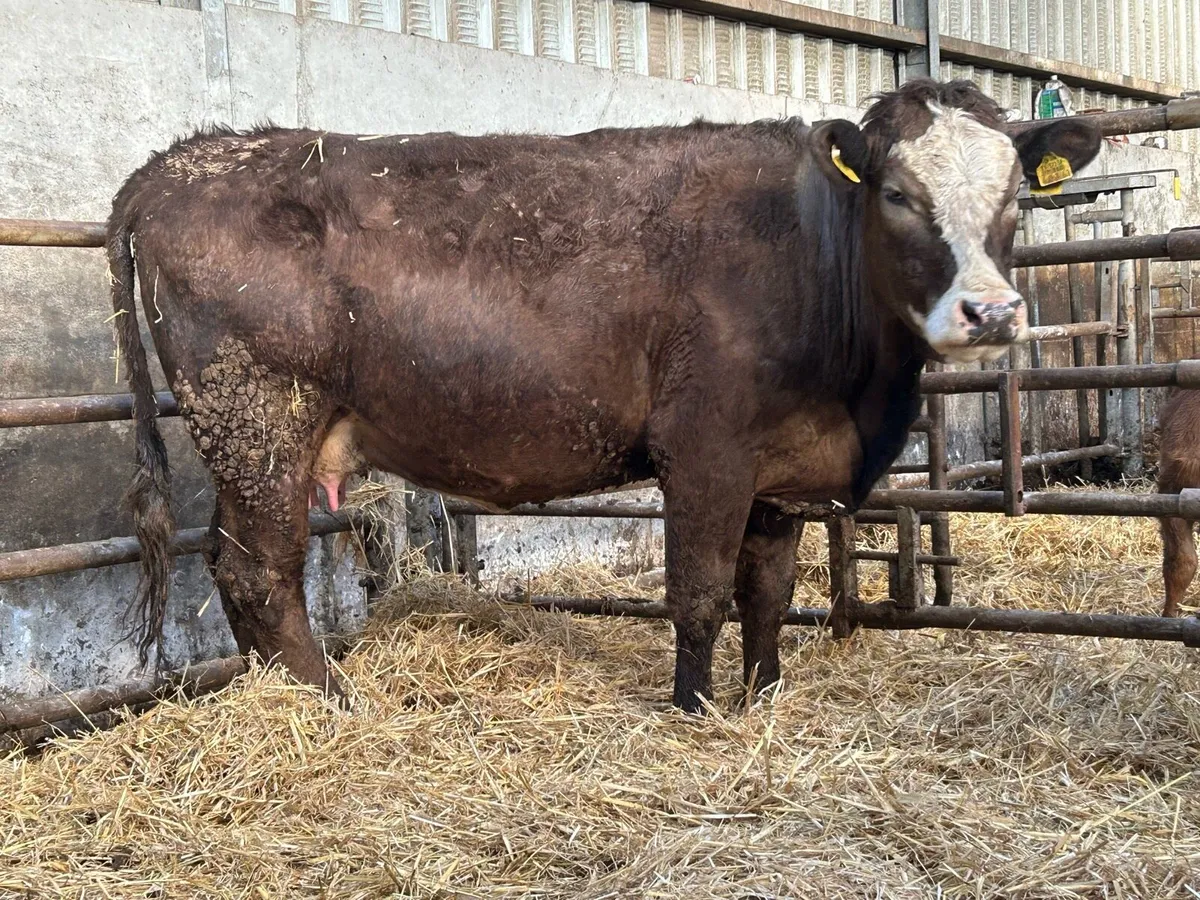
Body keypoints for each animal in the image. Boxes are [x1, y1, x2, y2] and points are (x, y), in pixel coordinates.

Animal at [107, 79, 1101, 713]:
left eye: (1014, 197)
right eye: (896, 192)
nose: (992, 311)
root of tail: (182, 160)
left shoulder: (778, 470)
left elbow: (767, 591)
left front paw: (766, 693)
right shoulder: (704, 450)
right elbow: (699, 591)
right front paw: (696, 707)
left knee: (234, 566)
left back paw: (280, 691)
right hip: (257, 416)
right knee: (259, 572)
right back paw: (329, 701)